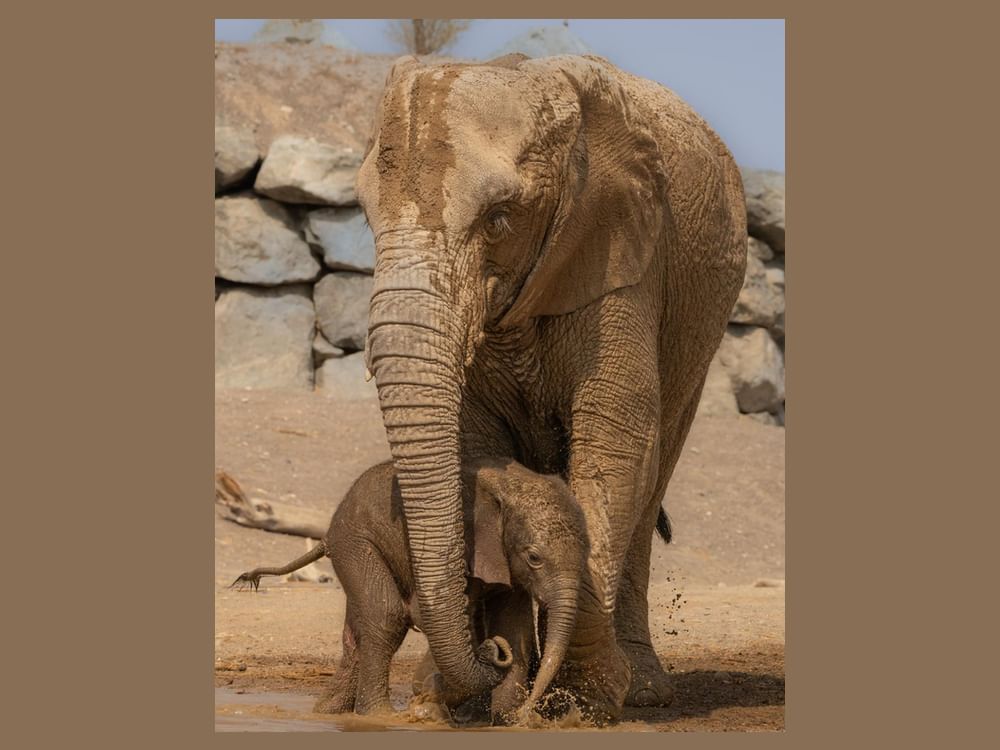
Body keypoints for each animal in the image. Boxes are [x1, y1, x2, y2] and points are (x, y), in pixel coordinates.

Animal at [232, 456, 589, 723]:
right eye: (534, 558)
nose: (530, 714)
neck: (509, 488)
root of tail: (327, 535)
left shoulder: (504, 561)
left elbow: (513, 630)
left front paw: (503, 720)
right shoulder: (465, 546)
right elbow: (427, 614)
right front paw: (431, 700)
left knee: (356, 633)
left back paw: (327, 713)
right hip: (357, 542)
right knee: (387, 615)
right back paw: (378, 717)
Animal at [357, 52, 747, 723]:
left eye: (500, 220)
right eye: (364, 214)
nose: (487, 656)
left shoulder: (622, 260)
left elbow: (616, 447)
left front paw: (584, 700)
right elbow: (477, 454)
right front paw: (451, 697)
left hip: (700, 331)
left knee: (652, 474)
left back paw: (642, 690)